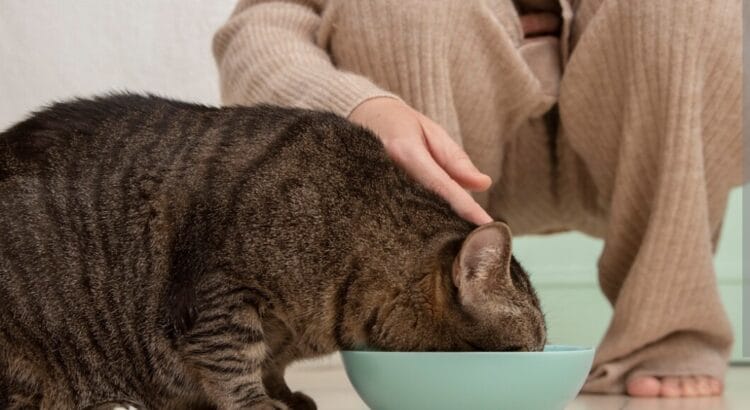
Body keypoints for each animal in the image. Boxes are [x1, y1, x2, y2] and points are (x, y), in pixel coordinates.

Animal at [1, 93, 552, 410]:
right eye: (522, 354)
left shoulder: (280, 331)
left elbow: (270, 363)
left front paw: (283, 394)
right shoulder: (218, 291)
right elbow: (233, 356)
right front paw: (256, 403)